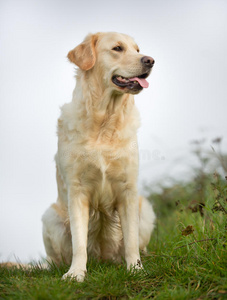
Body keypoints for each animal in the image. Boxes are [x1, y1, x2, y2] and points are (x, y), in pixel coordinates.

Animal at [41, 31, 156, 282]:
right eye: (117, 48)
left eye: (137, 49)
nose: (150, 60)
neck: (105, 121)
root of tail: (104, 259)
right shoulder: (77, 190)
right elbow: (79, 243)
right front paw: (75, 273)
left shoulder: (128, 190)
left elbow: (131, 240)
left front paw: (135, 269)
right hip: (50, 216)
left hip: (145, 207)